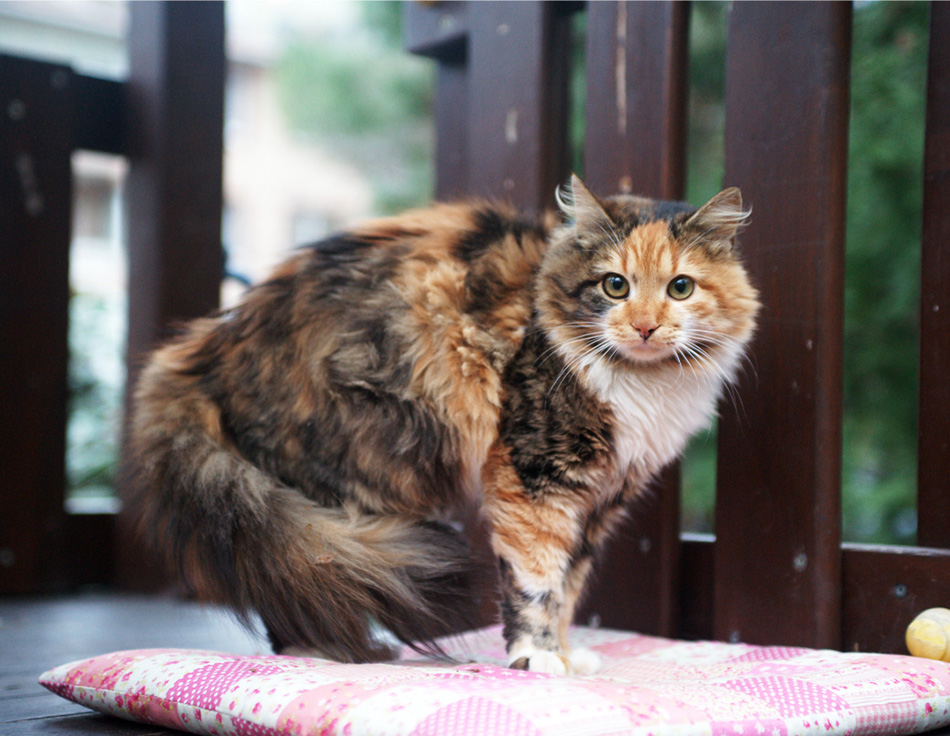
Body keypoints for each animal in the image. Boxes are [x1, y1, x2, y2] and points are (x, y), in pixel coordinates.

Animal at [130, 175, 764, 676]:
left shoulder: (600, 500)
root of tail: (204, 346)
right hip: (344, 482)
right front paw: (537, 658)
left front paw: (566, 654)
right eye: (615, 285)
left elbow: (568, 587)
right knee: (300, 575)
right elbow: (537, 583)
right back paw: (326, 652)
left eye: (680, 287)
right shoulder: (534, 480)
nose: (645, 327)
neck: (644, 385)